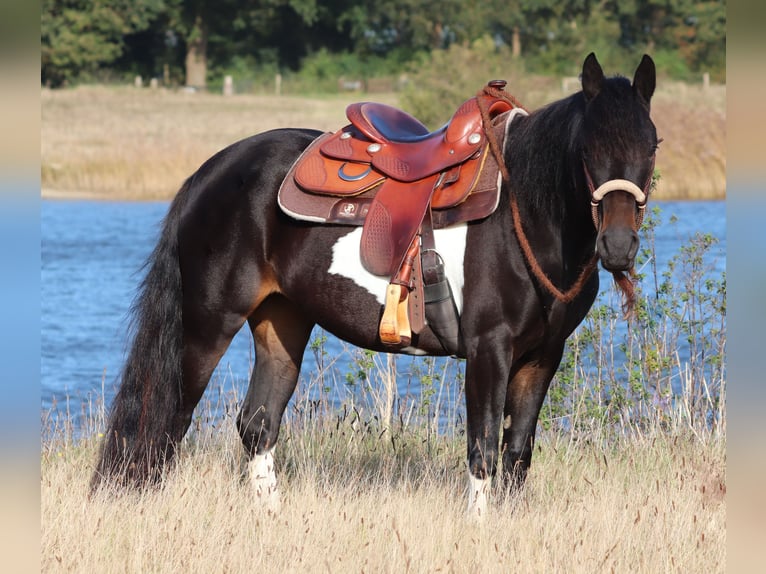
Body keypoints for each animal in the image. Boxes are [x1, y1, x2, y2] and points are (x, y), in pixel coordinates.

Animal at [93, 54, 660, 520]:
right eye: (587, 148)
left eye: (652, 145)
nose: (617, 245)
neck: (525, 213)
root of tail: (213, 171)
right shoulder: (488, 349)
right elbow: (482, 449)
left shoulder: (543, 355)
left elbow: (517, 451)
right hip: (206, 325)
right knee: (167, 416)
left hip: (281, 322)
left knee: (257, 424)